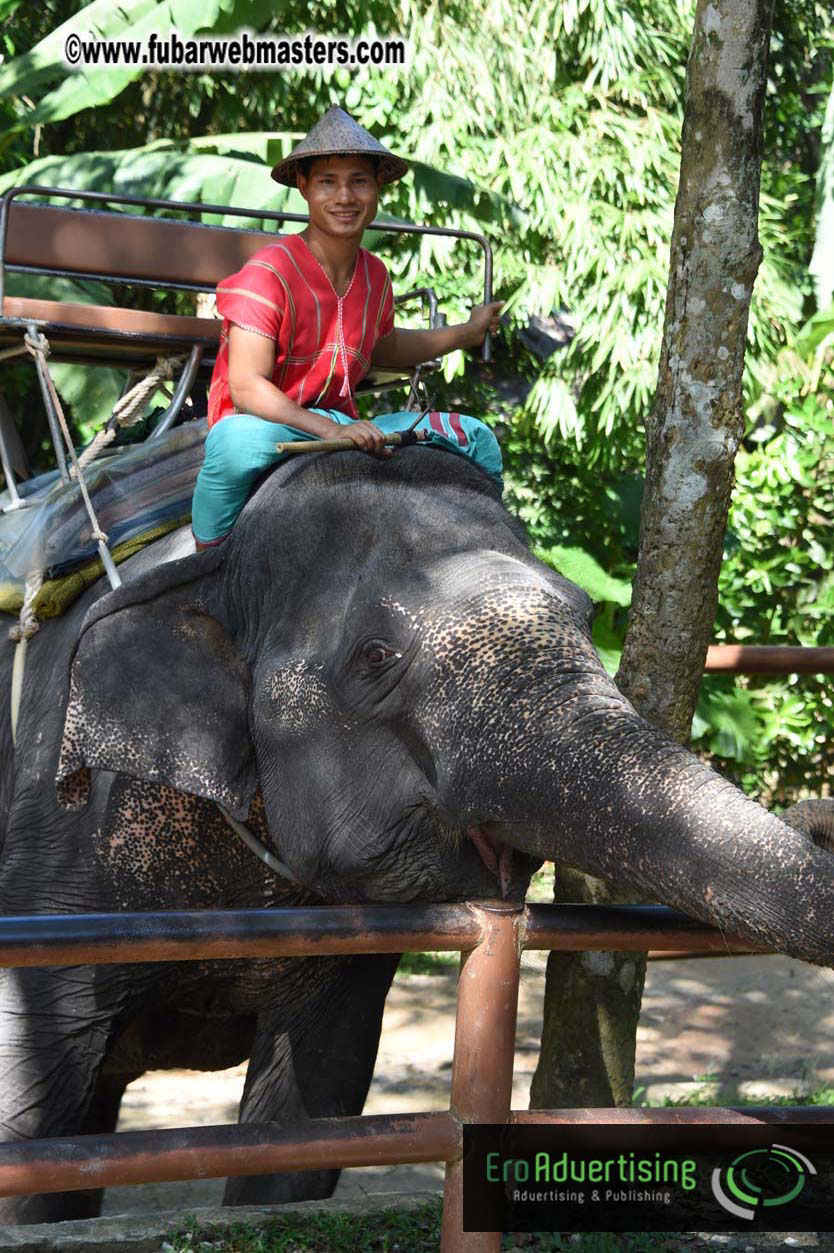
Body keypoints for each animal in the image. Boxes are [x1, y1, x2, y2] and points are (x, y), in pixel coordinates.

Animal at [1, 440, 833, 1226]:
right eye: (375, 656)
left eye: (580, 612)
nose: (816, 817)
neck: (218, 563)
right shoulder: (58, 844)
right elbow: (32, 1111)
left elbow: (311, 1111)